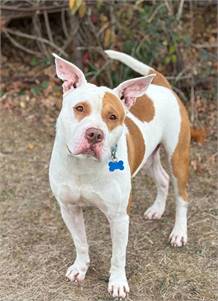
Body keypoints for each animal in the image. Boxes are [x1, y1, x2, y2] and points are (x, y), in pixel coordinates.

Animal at [49, 50, 191, 296]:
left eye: (113, 117)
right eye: (79, 108)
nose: (94, 134)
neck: (84, 165)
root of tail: (162, 85)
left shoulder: (119, 217)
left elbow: (118, 255)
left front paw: (117, 283)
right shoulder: (69, 209)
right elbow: (80, 242)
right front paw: (80, 268)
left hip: (178, 158)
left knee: (182, 195)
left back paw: (179, 233)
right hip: (148, 157)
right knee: (162, 179)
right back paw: (156, 210)